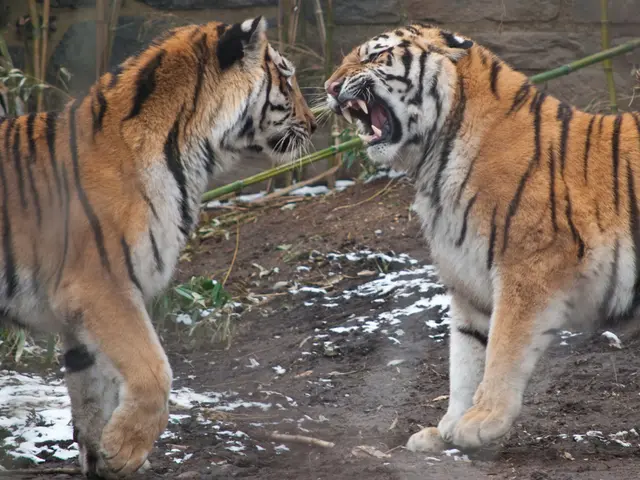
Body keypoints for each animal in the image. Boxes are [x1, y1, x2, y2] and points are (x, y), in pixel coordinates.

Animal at [0, 16, 314, 478]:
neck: (190, 151)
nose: (314, 124)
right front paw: (125, 448)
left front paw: (104, 457)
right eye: (287, 79)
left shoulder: (79, 317)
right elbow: (154, 371)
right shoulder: (102, 288)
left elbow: (92, 398)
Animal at [325, 23, 640, 453]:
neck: (434, 164)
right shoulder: (468, 282)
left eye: (375, 55)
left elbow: (503, 348)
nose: (328, 87)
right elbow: (465, 358)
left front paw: (483, 421)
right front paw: (447, 429)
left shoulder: (528, 267)